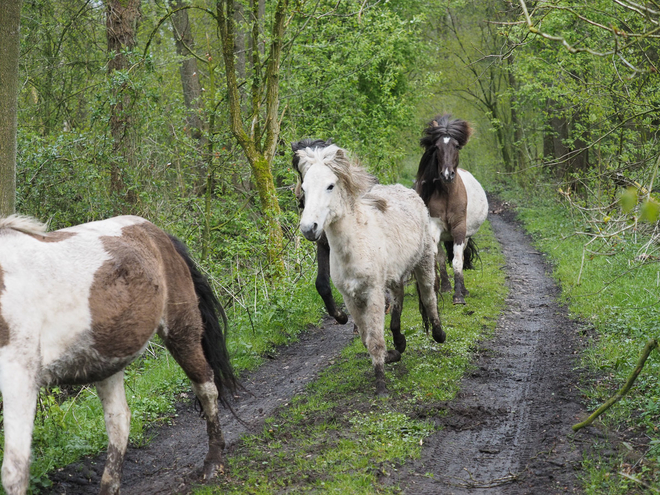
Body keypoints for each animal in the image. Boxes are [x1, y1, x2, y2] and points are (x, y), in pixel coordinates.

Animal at [0, 216, 236, 495]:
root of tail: (154, 232)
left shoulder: (20, 379)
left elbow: (15, 469)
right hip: (107, 358)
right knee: (119, 421)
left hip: (181, 331)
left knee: (206, 387)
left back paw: (213, 462)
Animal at [298, 145, 444, 398]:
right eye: (304, 188)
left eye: (330, 186)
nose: (309, 228)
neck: (356, 243)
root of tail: (407, 191)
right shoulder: (350, 298)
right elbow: (366, 339)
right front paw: (391, 355)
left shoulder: (373, 293)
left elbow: (375, 339)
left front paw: (381, 386)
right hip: (394, 274)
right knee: (398, 297)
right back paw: (399, 341)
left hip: (424, 260)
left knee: (428, 296)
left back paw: (438, 334)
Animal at [418, 115, 490, 306]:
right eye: (436, 147)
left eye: (456, 146)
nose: (447, 174)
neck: (447, 194)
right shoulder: (434, 227)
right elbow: (437, 258)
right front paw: (440, 289)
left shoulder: (459, 228)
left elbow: (457, 261)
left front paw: (459, 295)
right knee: (442, 257)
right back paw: (445, 286)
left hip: (465, 235)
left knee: (462, 256)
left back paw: (463, 289)